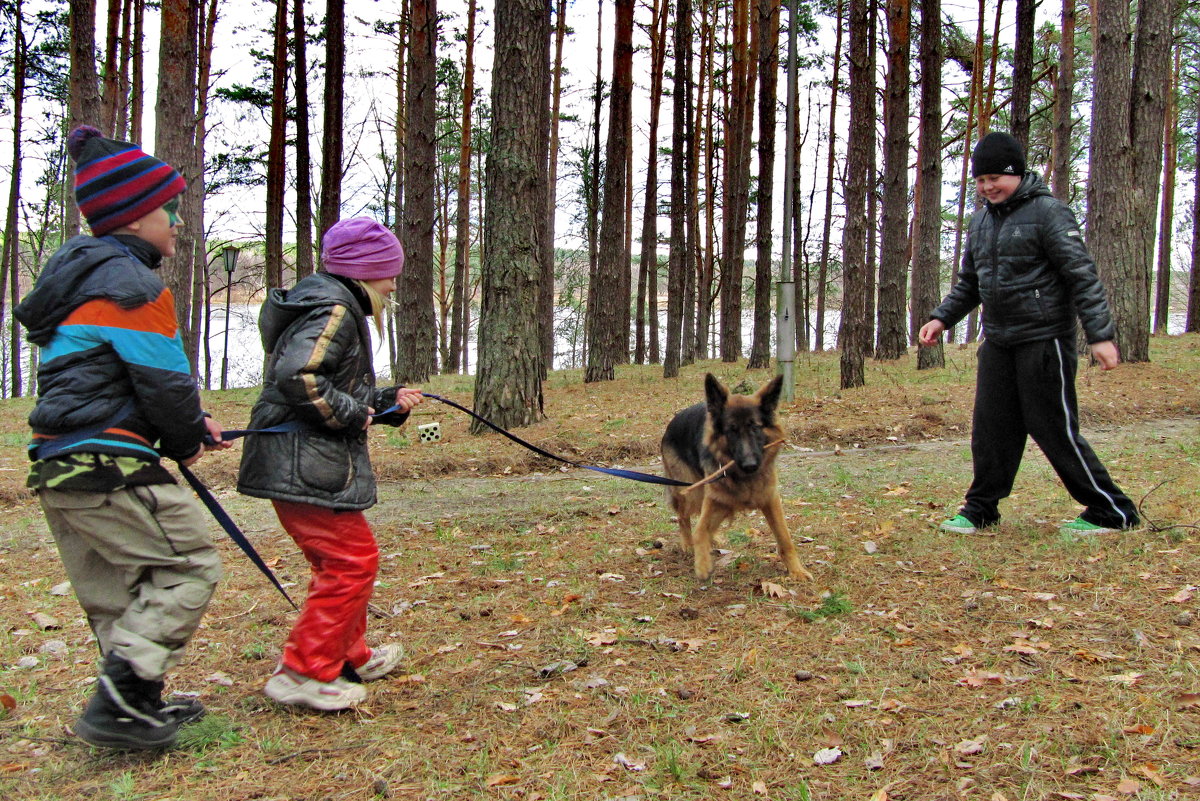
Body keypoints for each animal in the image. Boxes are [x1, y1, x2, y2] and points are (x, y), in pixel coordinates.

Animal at [662, 376, 811, 582]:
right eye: (731, 431)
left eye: (755, 428)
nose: (750, 465)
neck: (743, 478)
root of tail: (673, 421)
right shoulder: (714, 496)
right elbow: (699, 530)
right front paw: (702, 564)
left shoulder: (770, 498)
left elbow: (784, 537)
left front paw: (796, 570)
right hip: (692, 491)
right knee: (684, 517)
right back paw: (688, 544)